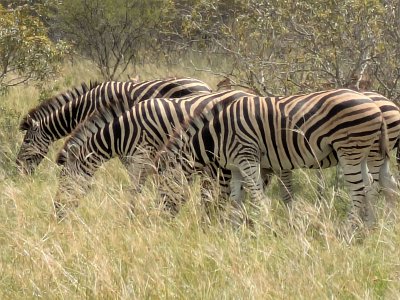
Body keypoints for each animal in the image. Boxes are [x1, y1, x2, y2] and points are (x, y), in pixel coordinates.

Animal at [54, 89, 253, 220]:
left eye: (64, 179)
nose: (57, 211)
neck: (123, 131)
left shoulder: (142, 158)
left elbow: (134, 190)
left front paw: (129, 218)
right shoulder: (142, 161)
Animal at [159, 88, 390, 229]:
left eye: (162, 188)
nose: (162, 221)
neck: (217, 135)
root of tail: (375, 105)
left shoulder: (247, 157)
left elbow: (257, 195)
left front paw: (265, 225)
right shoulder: (235, 167)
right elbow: (235, 199)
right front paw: (233, 229)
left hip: (349, 149)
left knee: (358, 191)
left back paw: (348, 230)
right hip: (363, 153)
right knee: (370, 186)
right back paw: (367, 228)